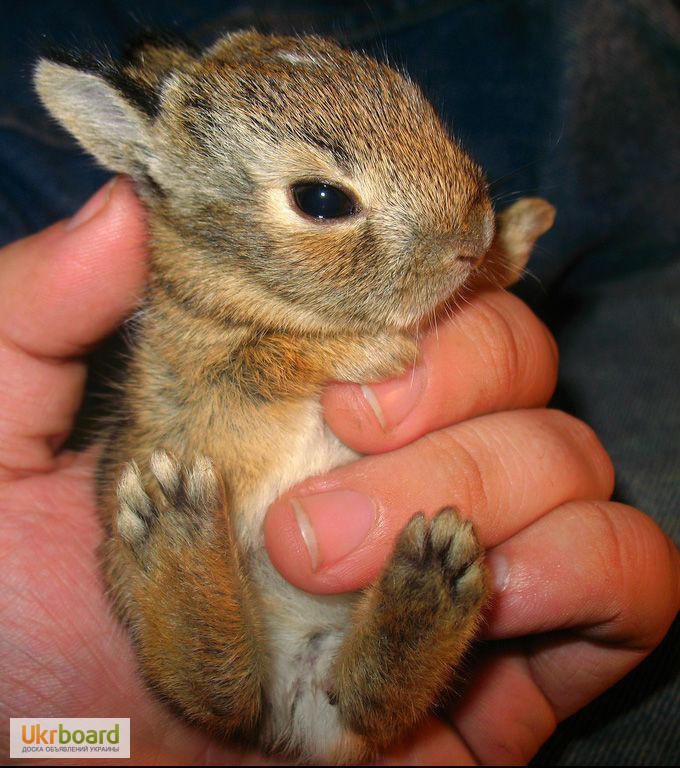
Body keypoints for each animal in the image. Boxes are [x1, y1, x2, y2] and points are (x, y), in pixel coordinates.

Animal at [34, 30, 552, 760]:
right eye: (321, 201)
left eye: (417, 104)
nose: (470, 238)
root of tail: (291, 714)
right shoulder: (209, 364)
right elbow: (273, 355)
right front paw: (383, 353)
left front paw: (520, 228)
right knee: (217, 694)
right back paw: (174, 523)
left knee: (366, 704)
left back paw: (432, 578)